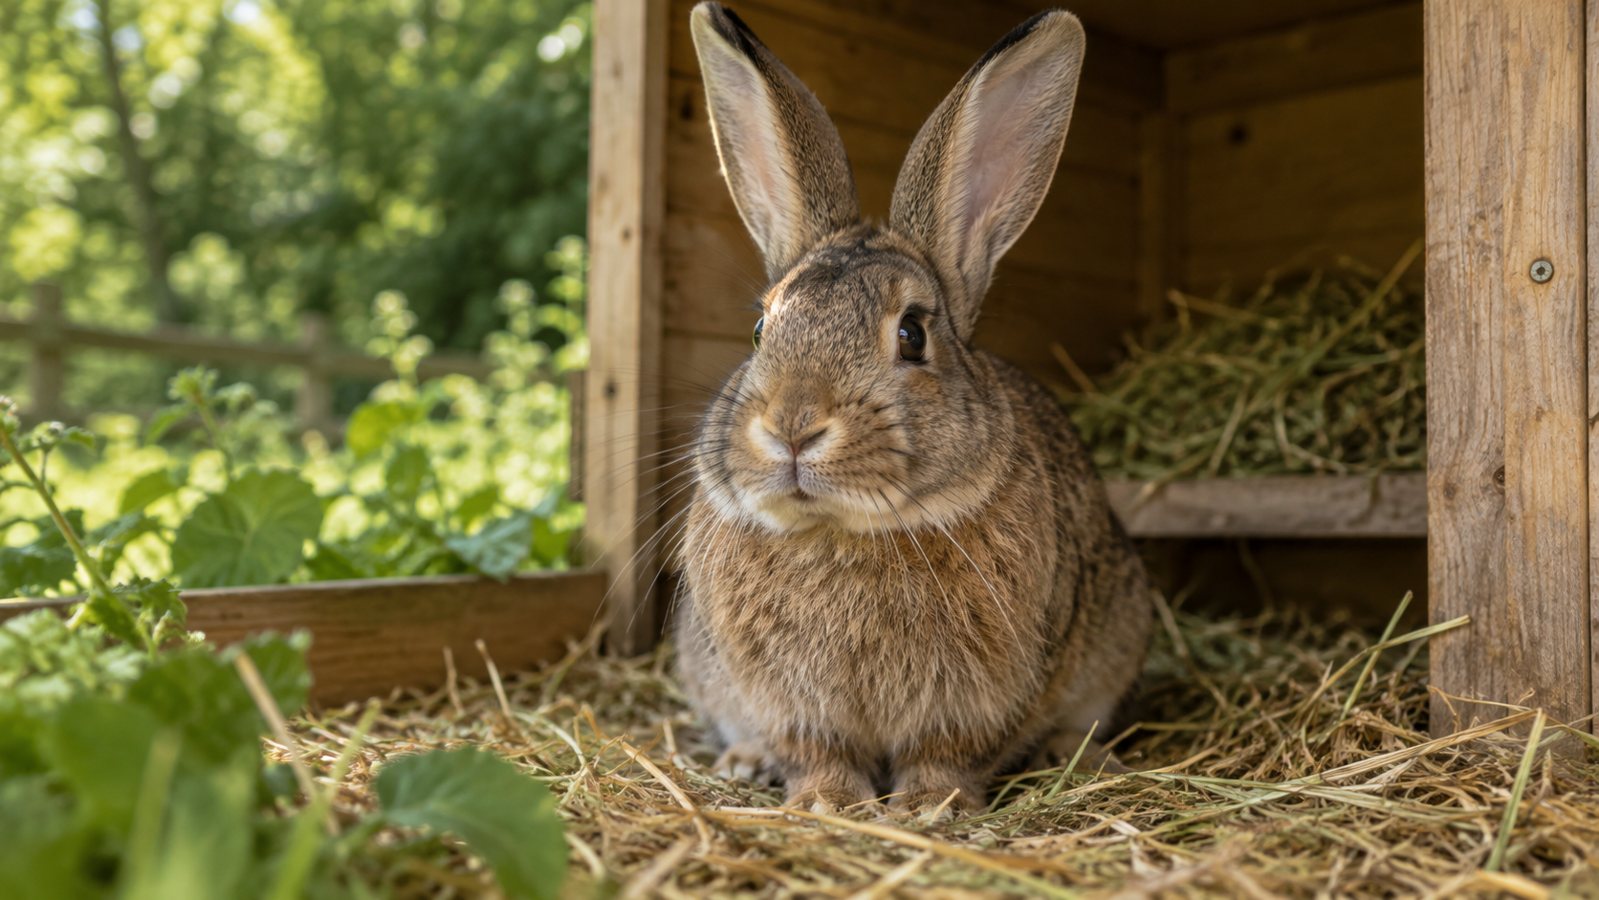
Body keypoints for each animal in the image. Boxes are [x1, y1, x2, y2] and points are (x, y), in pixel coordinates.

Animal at [673, 2, 1155, 817]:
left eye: (912, 334)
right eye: (762, 327)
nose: (792, 427)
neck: (840, 533)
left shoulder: (979, 700)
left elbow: (944, 755)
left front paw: (931, 806)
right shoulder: (789, 704)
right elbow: (816, 752)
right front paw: (826, 803)